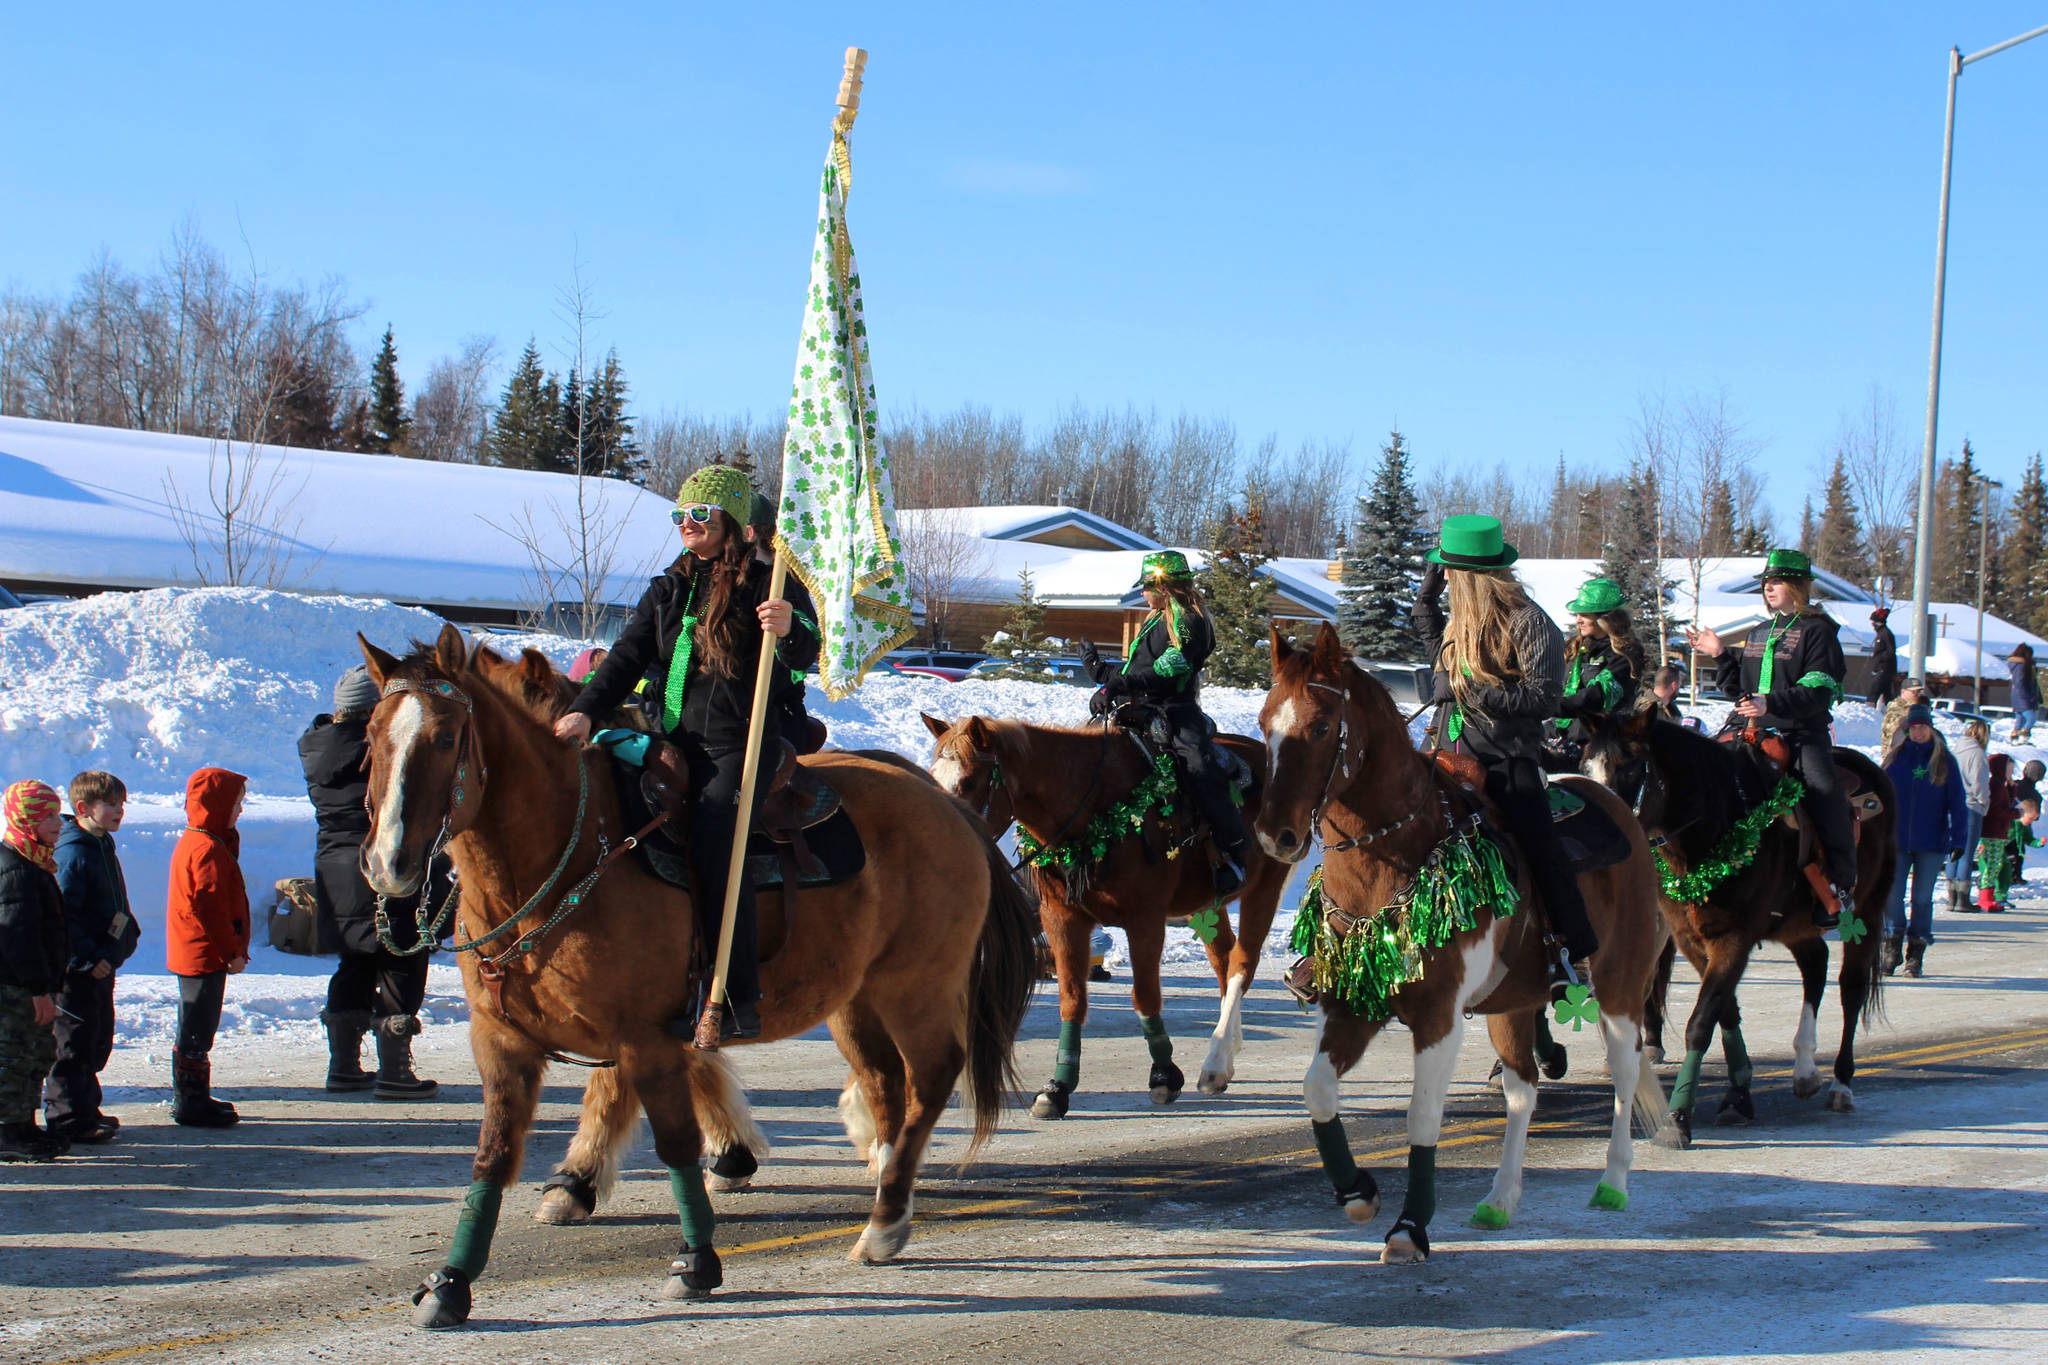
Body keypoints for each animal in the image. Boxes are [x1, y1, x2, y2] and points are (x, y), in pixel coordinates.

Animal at [356, 626, 1040, 1326]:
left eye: (445, 738)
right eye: (370, 738)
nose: (388, 863)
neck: (571, 855)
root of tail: (948, 807)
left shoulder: (646, 1038)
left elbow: (674, 1140)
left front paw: (694, 1258)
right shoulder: (503, 1042)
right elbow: (494, 1154)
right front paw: (452, 1281)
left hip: (914, 987)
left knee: (930, 1077)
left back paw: (883, 1223)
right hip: (857, 999)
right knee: (885, 1083)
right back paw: (886, 1184)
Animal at [925, 712, 1286, 1113]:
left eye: (970, 781)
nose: (946, 841)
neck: (1093, 806)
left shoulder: (1145, 919)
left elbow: (1145, 996)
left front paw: (1164, 1076)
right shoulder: (1062, 919)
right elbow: (1072, 1000)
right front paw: (1058, 1087)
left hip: (1264, 887)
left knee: (1242, 963)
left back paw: (1216, 1063)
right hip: (1206, 906)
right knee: (1224, 960)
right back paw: (1224, 1058)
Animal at [1253, 626, 1671, 1268]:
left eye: (1321, 727)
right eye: (1262, 721)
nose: (1275, 836)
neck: (1390, 861)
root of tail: (1614, 804)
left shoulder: (1438, 1014)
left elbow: (1423, 1117)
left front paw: (1409, 1226)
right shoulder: (1355, 1004)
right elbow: (1317, 1090)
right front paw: (1358, 1191)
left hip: (1621, 986)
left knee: (1626, 1075)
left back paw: (1613, 1183)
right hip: (1514, 1005)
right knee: (1522, 1090)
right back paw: (1499, 1199)